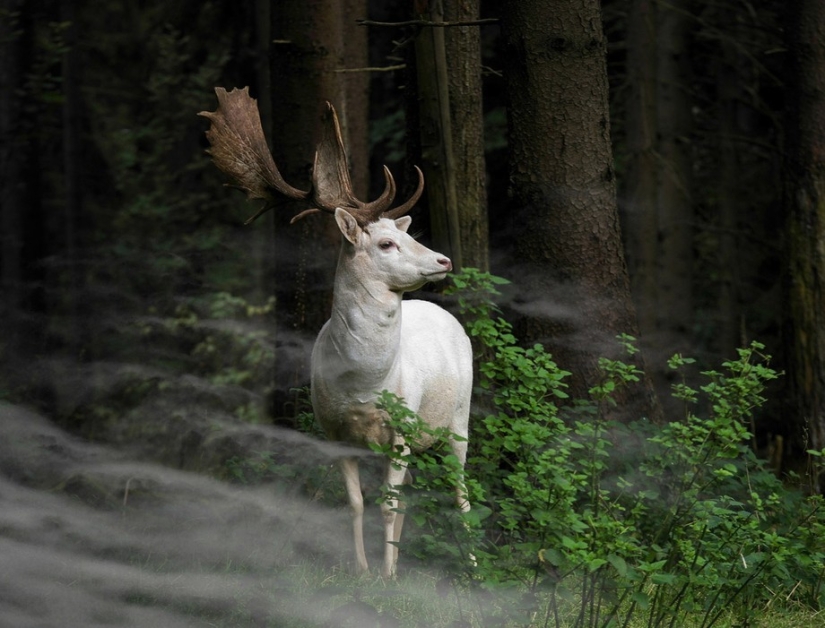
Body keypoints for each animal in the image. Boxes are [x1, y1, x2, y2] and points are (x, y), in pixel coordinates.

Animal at [198, 88, 470, 580]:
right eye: (386, 243)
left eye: (406, 235)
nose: (443, 260)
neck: (363, 385)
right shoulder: (333, 432)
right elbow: (358, 504)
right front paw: (364, 571)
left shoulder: (401, 429)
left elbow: (387, 504)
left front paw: (387, 577)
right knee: (411, 493)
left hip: (458, 421)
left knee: (461, 494)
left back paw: (472, 567)